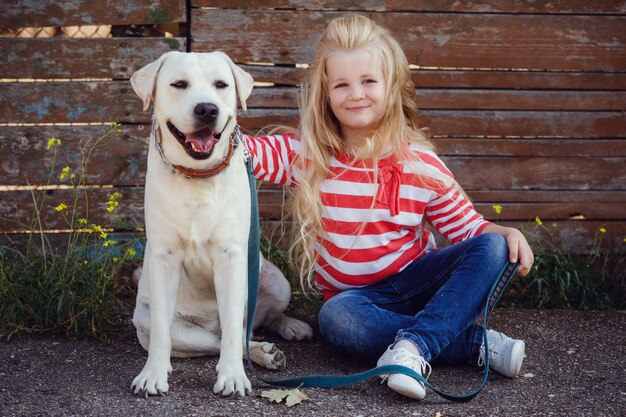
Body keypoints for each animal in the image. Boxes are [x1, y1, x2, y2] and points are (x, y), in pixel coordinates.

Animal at [127, 51, 312, 396]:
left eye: (221, 85)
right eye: (179, 84)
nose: (207, 109)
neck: (197, 175)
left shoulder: (231, 258)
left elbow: (232, 330)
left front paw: (232, 377)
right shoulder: (163, 259)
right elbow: (163, 332)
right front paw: (153, 375)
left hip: (277, 281)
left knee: (249, 325)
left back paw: (288, 329)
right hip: (151, 319)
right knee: (217, 338)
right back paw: (264, 352)